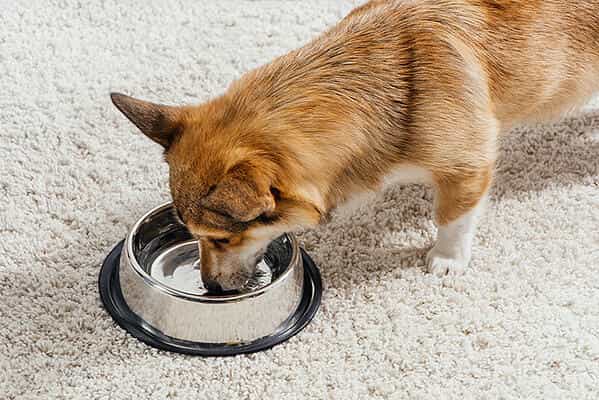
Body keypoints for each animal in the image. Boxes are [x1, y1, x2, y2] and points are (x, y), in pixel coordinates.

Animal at [111, 0, 599, 292]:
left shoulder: (468, 166)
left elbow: (452, 218)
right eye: (191, 236)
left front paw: (447, 259)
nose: (209, 287)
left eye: (223, 238)